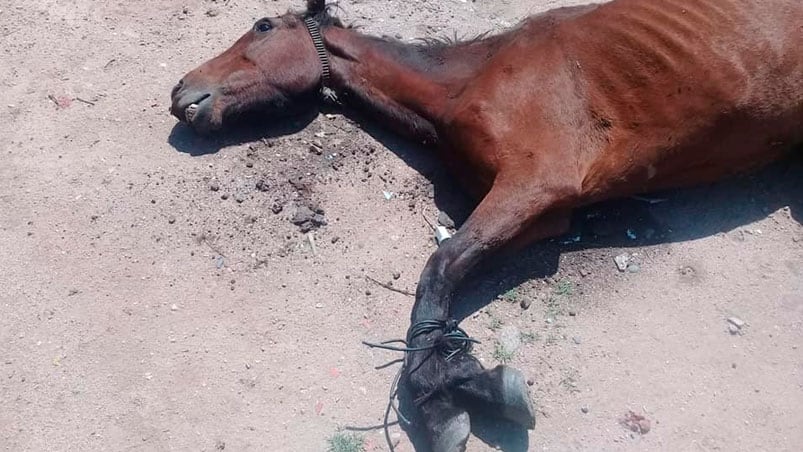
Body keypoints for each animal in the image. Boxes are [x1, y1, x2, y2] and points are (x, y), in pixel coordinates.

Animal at [171, 0, 803, 448]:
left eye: (262, 26)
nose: (180, 91)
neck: (471, 79)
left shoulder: (535, 185)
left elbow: (438, 269)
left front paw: (444, 398)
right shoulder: (542, 213)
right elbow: (448, 273)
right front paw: (461, 381)